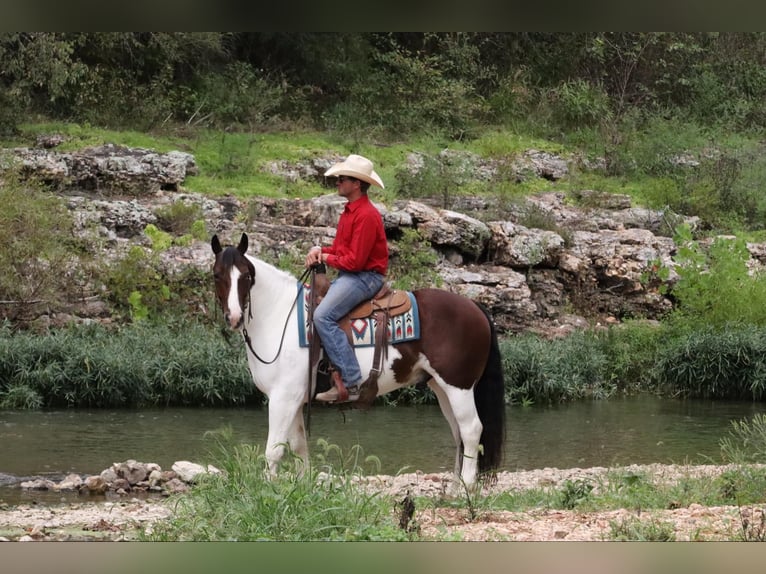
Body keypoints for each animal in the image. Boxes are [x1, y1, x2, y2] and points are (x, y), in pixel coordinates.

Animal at [213, 234, 508, 490]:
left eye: (246, 276)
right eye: (217, 275)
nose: (234, 317)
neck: (279, 315)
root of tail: (475, 307)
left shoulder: (282, 398)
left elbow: (273, 450)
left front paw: (266, 492)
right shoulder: (294, 400)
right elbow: (298, 447)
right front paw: (302, 489)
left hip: (459, 386)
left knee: (471, 430)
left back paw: (467, 488)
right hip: (441, 387)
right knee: (458, 433)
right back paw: (455, 490)